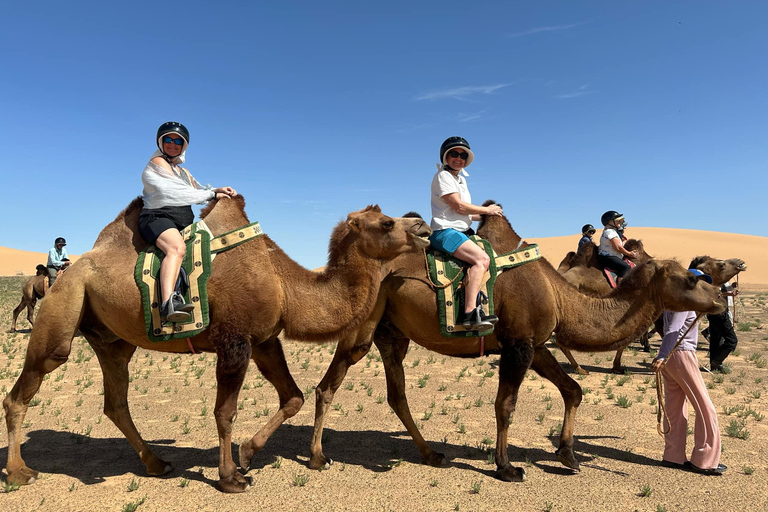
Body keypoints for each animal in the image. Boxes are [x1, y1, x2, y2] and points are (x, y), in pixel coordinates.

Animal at [3, 196, 428, 492]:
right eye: (387, 222)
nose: (423, 225)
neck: (284, 284)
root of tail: (71, 269)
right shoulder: (234, 341)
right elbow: (225, 412)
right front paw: (230, 477)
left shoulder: (264, 340)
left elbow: (293, 397)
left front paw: (247, 455)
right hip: (64, 307)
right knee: (24, 389)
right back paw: (20, 473)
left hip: (112, 339)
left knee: (116, 401)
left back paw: (156, 463)